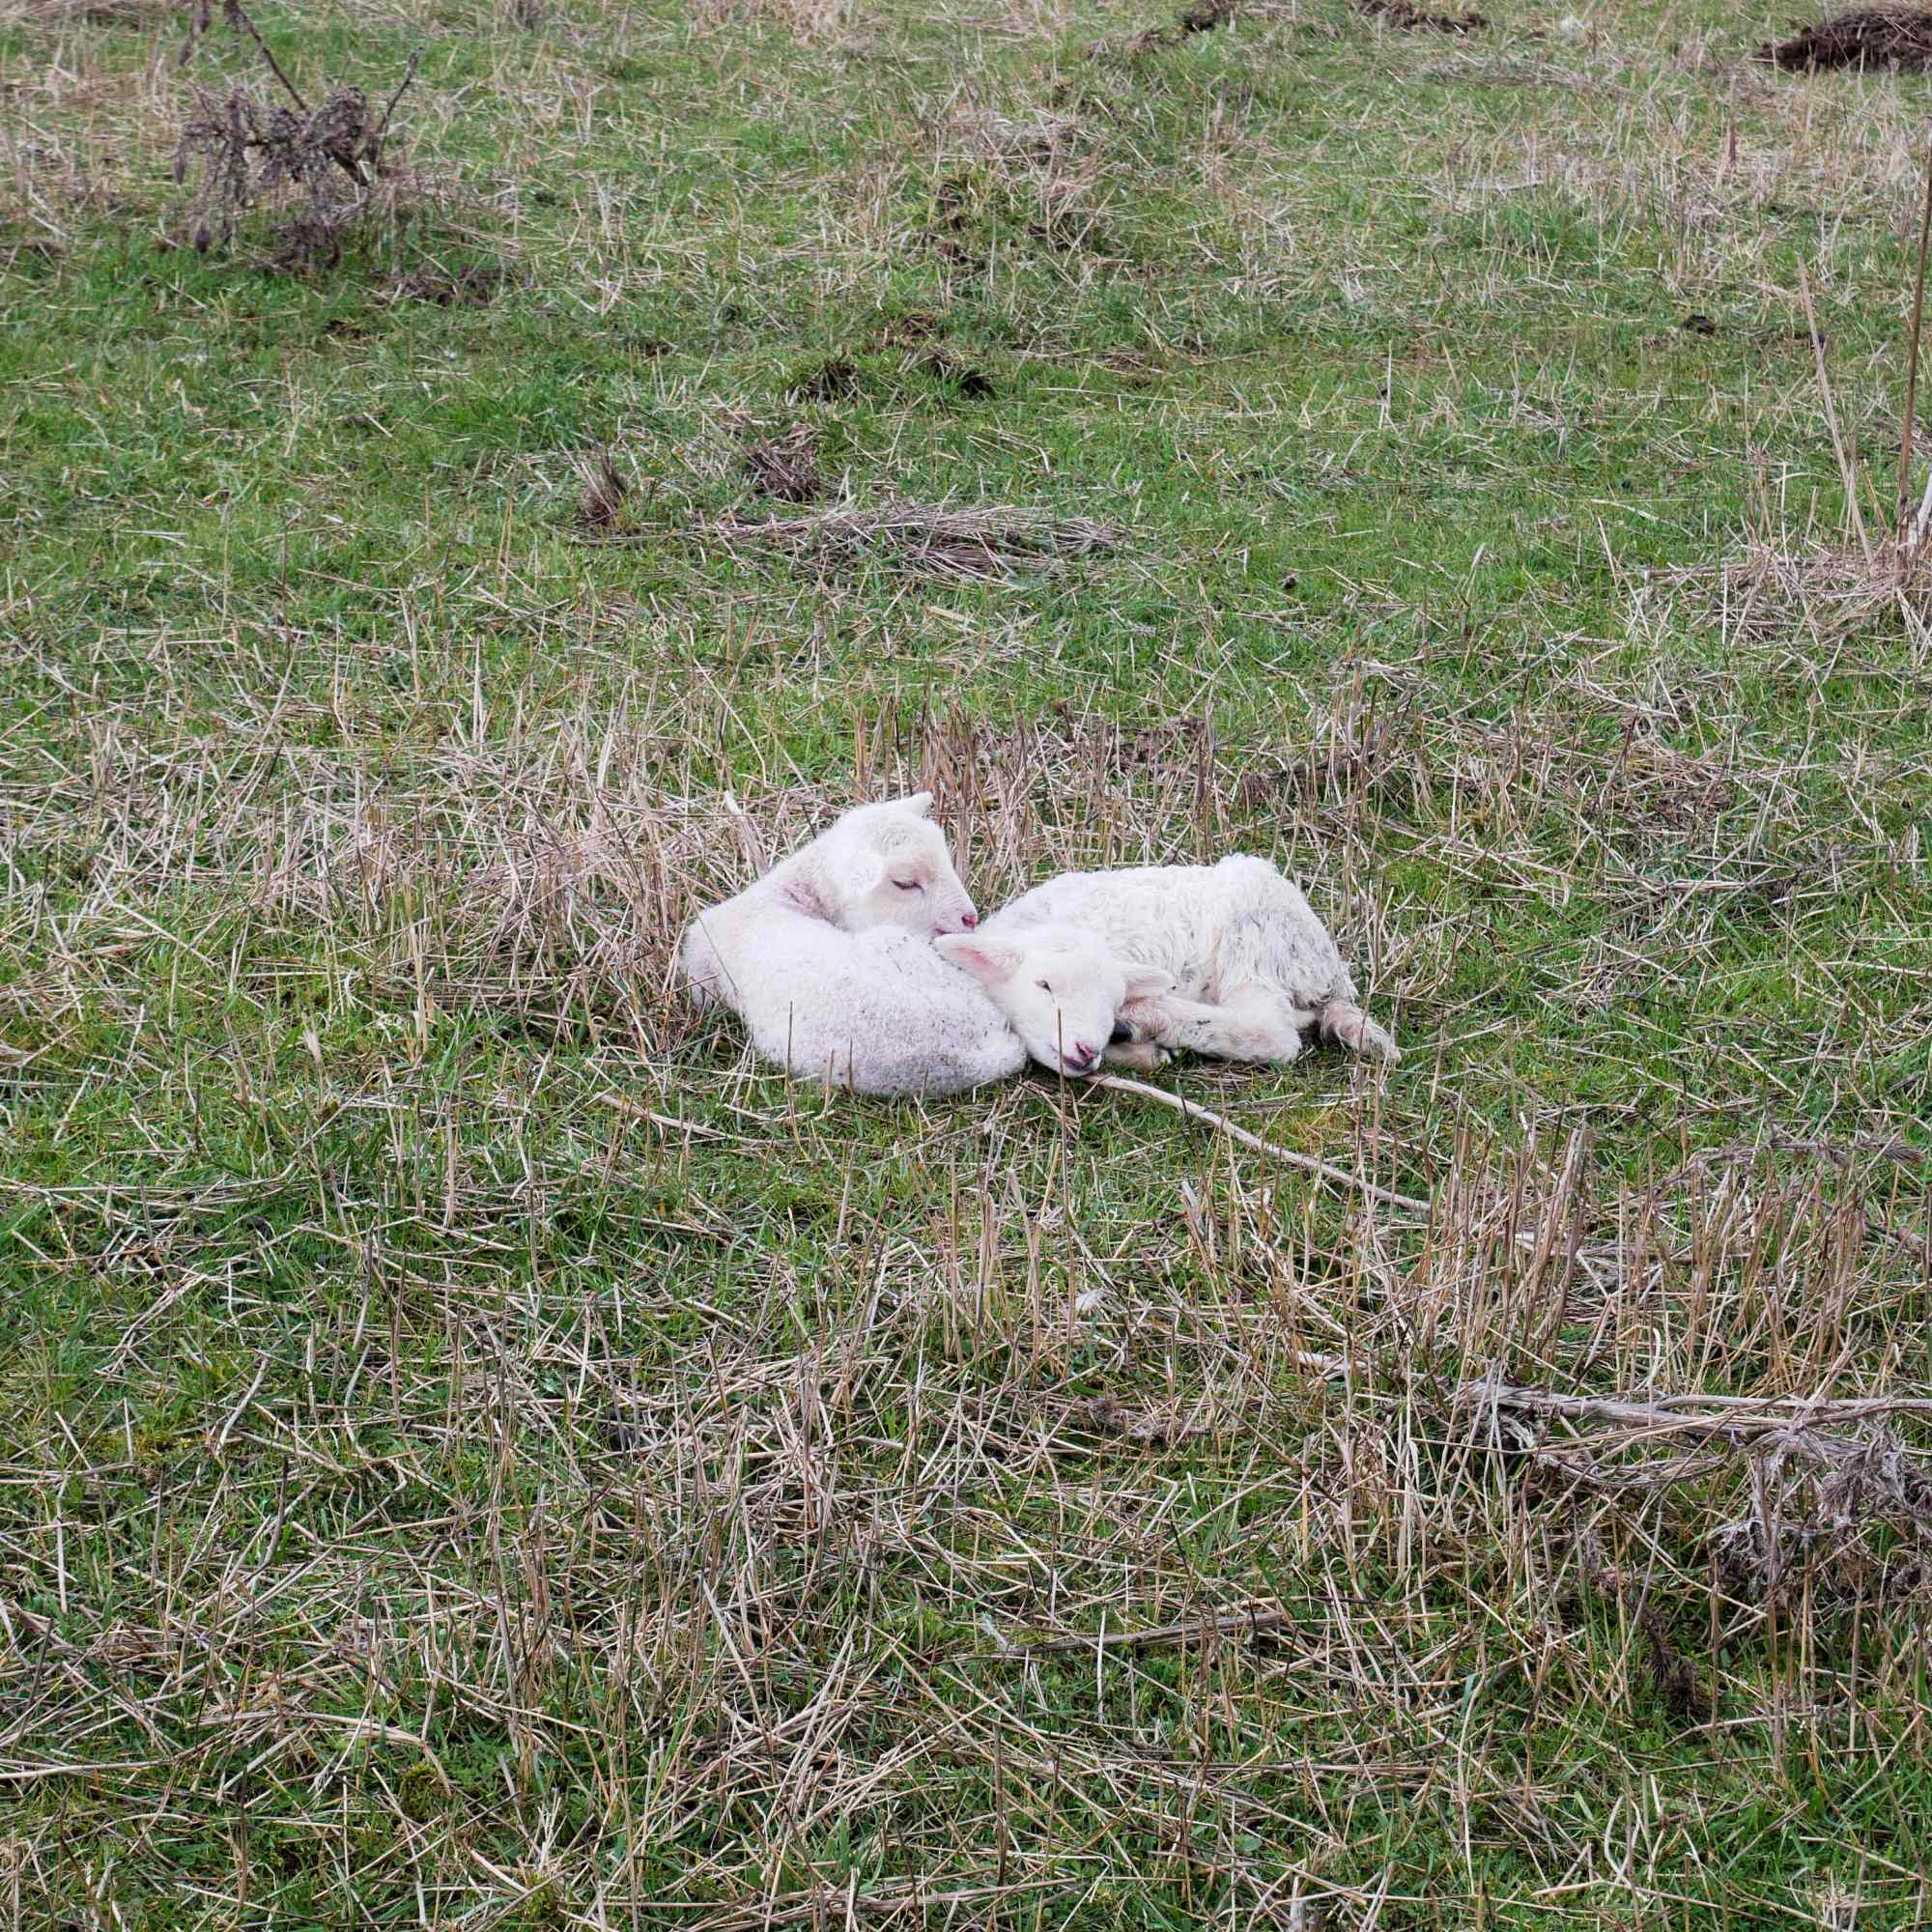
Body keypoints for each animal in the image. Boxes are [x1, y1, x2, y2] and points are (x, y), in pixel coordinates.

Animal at [984, 853, 1398, 1067]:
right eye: (1044, 985)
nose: (1084, 1048)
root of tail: (1333, 974)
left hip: (1255, 938)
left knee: (1272, 1031)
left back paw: (1144, 1017)